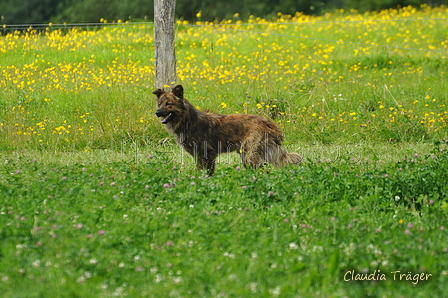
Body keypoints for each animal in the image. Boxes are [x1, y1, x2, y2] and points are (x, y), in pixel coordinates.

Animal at [152, 85, 302, 175]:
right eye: (159, 104)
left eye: (169, 104)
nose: (157, 113)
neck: (188, 121)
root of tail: (269, 124)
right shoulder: (199, 156)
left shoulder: (207, 154)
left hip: (250, 156)